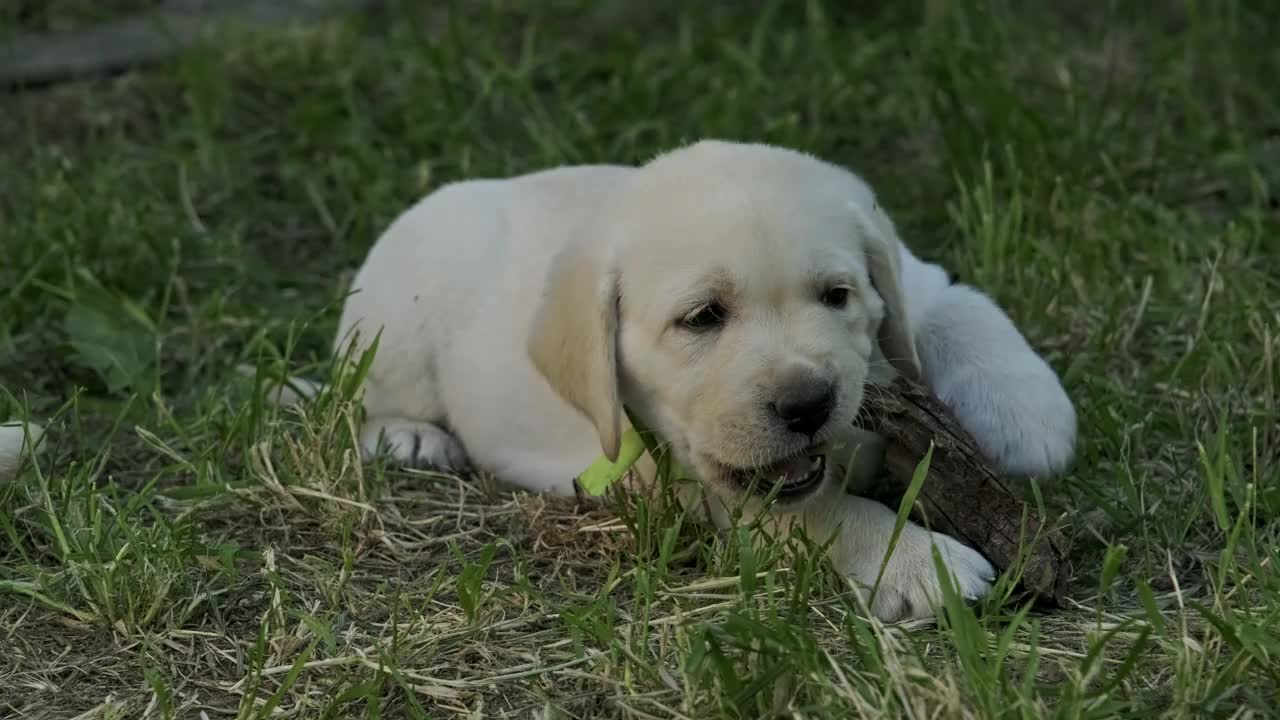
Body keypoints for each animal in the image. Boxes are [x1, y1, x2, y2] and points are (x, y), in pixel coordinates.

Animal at [317, 139, 1070, 617]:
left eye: (837, 296)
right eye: (703, 318)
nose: (808, 404)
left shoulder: (915, 280)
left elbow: (956, 309)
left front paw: (1031, 421)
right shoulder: (685, 479)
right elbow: (826, 510)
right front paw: (917, 560)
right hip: (393, 328)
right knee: (362, 399)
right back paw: (411, 438)